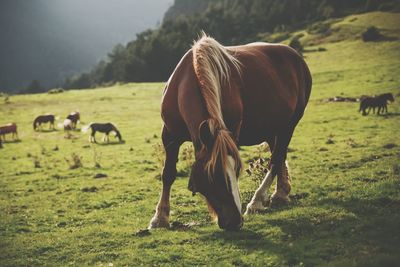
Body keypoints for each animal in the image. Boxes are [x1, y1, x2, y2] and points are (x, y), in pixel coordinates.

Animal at [149, 33, 312, 230]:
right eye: (212, 176)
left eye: (236, 170)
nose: (235, 222)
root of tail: (296, 58)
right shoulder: (169, 135)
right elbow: (168, 174)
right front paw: (160, 218)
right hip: (273, 128)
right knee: (279, 155)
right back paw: (281, 192)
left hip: (289, 125)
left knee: (276, 159)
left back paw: (257, 201)